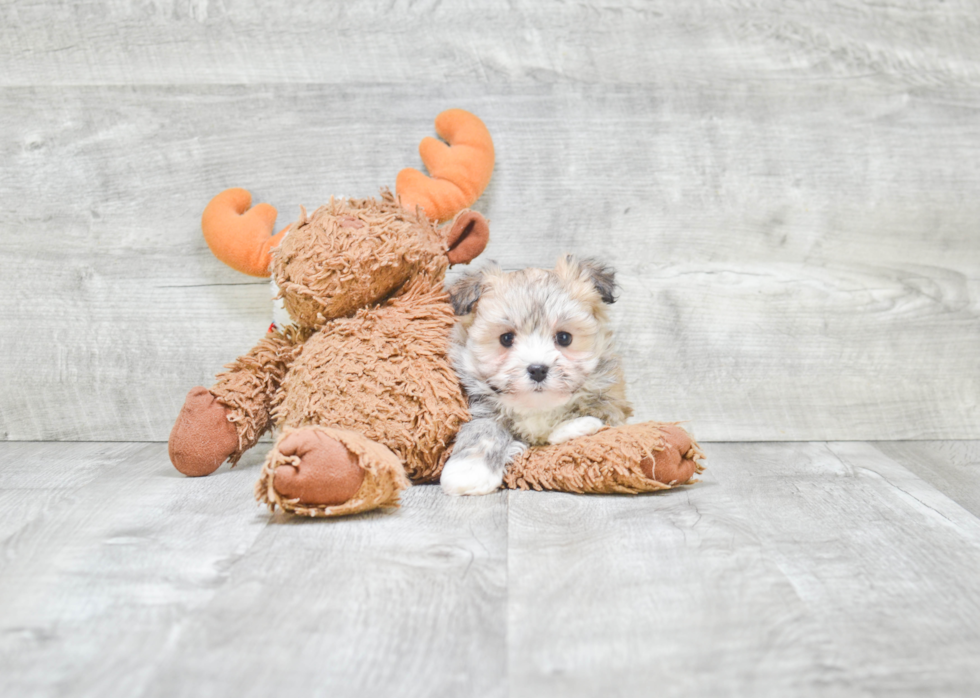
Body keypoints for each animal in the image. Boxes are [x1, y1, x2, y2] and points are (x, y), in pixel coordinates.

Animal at [438, 256, 636, 494]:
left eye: (564, 338)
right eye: (506, 338)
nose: (538, 369)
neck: (537, 406)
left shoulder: (614, 397)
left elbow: (601, 411)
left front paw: (574, 426)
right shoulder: (480, 405)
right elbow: (483, 429)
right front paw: (469, 470)